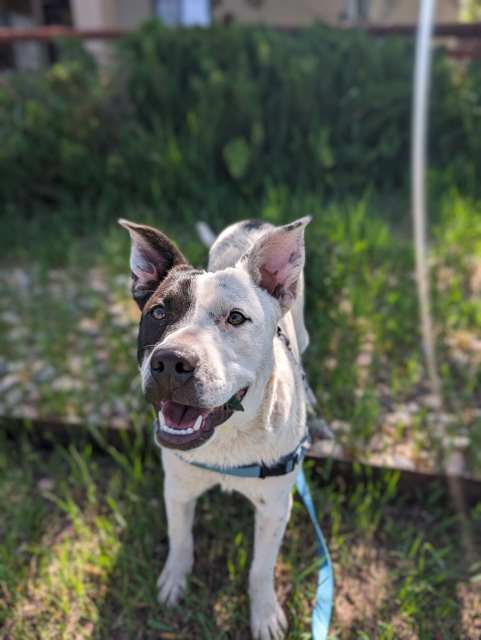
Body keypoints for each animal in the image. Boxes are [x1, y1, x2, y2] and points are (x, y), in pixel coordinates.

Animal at [118, 216, 310, 640]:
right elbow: (180, 539)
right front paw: (174, 581)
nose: (171, 362)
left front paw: (264, 613)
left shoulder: (275, 508)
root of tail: (254, 222)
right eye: (158, 313)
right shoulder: (177, 488)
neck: (227, 440)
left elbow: (260, 569)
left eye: (236, 318)